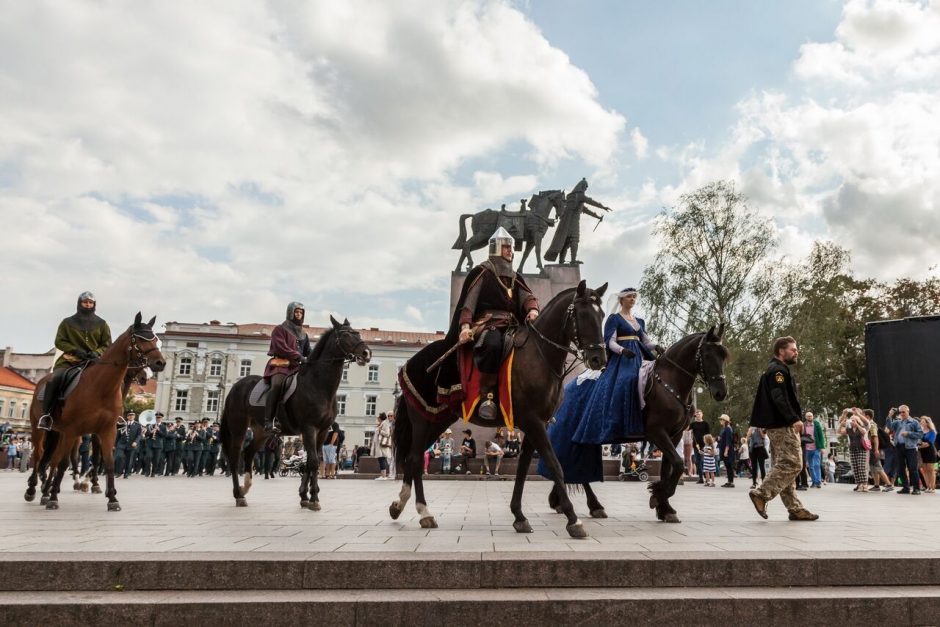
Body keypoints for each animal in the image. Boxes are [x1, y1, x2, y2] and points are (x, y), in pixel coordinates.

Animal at [24, 316, 165, 512]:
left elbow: (106, 462)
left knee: (52, 458)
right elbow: (66, 462)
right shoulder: (74, 431)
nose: (160, 363)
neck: (101, 387)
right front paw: (55, 497)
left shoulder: (106, 431)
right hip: (41, 428)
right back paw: (34, 489)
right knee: (40, 455)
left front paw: (111, 497)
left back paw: (46, 490)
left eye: (155, 339)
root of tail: (42, 381)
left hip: (58, 432)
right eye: (141, 339)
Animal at [218, 316, 370, 512]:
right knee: (235, 457)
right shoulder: (309, 428)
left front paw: (305, 496)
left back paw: (246, 488)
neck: (318, 384)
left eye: (357, 333)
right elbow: (313, 462)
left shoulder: (322, 431)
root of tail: (235, 387)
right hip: (238, 428)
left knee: (249, 453)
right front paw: (314, 499)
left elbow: (310, 461)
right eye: (345, 335)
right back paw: (238, 494)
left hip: (261, 431)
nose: (366, 353)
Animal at [390, 280, 608, 540]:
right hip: (421, 421)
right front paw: (573, 519)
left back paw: (400, 505)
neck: (539, 355)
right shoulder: (533, 422)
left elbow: (523, 469)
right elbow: (555, 465)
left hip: (437, 419)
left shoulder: (537, 425)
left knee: (413, 459)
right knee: (414, 458)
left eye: (602, 315)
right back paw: (423, 511)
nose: (598, 359)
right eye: (582, 315)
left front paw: (519, 516)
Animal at [552, 326, 736, 524]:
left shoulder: (674, 435)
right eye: (708, 355)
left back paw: (564, 502)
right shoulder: (657, 432)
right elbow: (678, 464)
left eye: (723, 355)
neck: (669, 383)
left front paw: (665, 507)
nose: (721, 393)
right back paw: (592, 505)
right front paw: (658, 494)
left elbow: (669, 468)